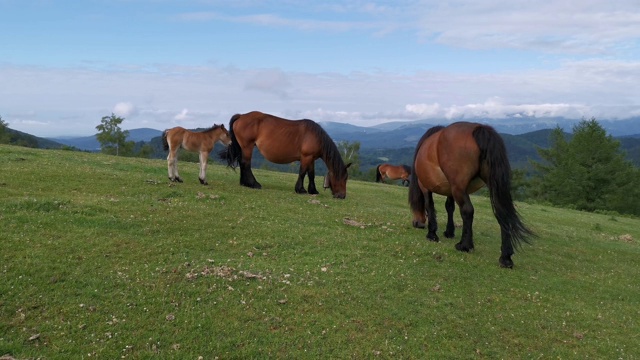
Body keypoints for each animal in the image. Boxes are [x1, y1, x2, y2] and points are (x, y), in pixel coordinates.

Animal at [219, 111, 350, 198]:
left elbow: (311, 174)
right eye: (343, 178)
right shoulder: (306, 157)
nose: (342, 196)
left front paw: (313, 190)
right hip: (247, 147)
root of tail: (241, 116)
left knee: (242, 163)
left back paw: (244, 183)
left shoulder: (311, 158)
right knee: (245, 164)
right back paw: (253, 184)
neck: (315, 136)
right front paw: (300, 189)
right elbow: (302, 173)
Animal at [408, 122, 532, 268]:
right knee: (502, 213)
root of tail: (479, 129)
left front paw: (432, 234)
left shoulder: (425, 187)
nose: (416, 223)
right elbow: (449, 207)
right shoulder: (450, 190)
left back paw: (465, 245)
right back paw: (505, 257)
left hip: (459, 187)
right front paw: (449, 232)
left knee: (467, 211)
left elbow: (430, 206)